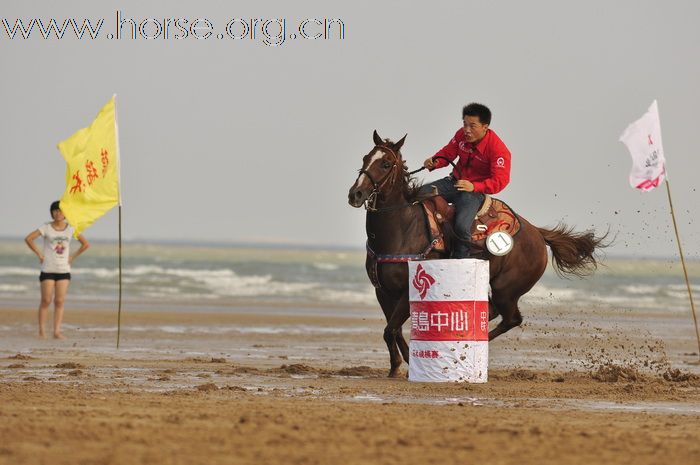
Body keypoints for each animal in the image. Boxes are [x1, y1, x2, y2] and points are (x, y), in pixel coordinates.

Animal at [348, 130, 608, 376]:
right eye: (365, 158)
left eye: (385, 164)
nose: (355, 194)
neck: (403, 228)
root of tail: (537, 233)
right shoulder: (382, 291)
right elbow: (393, 330)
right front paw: (398, 366)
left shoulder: (407, 291)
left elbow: (391, 329)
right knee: (493, 312)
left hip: (506, 290)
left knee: (511, 318)